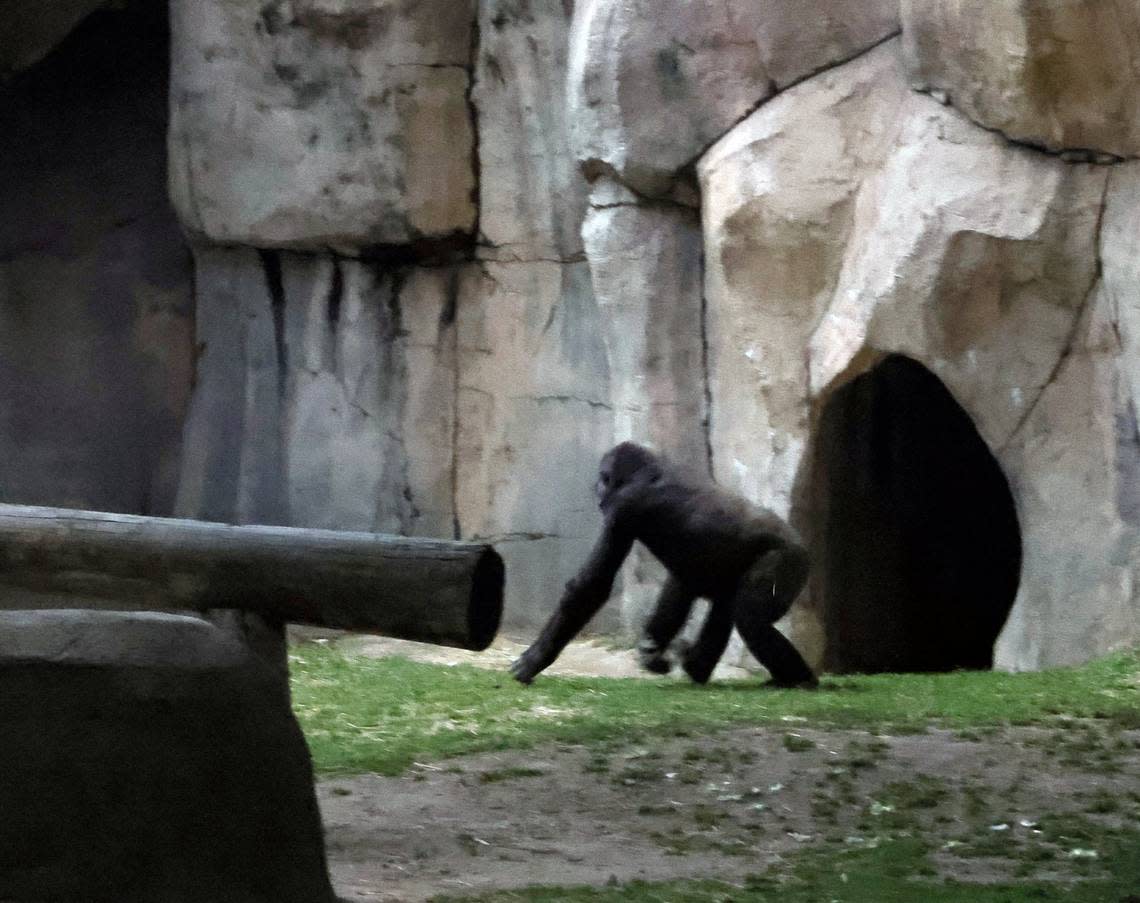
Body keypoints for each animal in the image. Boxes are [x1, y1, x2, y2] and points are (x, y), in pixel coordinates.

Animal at [513, 442, 816, 684]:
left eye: (602, 479)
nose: (596, 489)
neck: (649, 470)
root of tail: (803, 547)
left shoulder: (623, 506)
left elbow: (591, 585)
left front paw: (533, 660)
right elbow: (681, 585)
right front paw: (652, 651)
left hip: (787, 560)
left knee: (751, 620)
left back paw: (800, 680)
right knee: (728, 603)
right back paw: (697, 668)